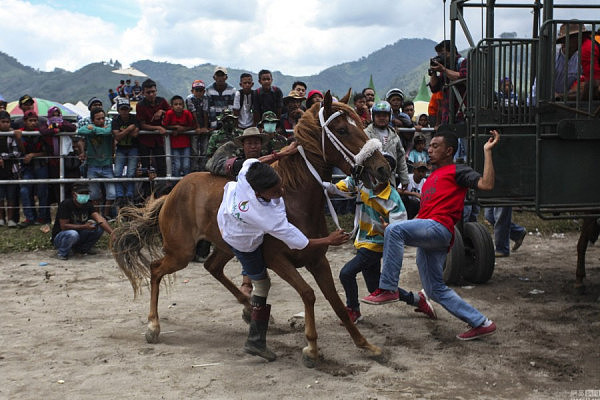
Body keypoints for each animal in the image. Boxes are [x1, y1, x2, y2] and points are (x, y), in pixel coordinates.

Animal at [111, 92, 390, 368]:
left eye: (361, 125)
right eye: (342, 130)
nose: (383, 167)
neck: (292, 200)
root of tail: (172, 192)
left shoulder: (317, 259)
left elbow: (336, 302)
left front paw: (367, 345)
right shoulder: (277, 260)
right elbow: (308, 294)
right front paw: (311, 348)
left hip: (227, 247)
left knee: (212, 267)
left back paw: (249, 308)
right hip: (181, 253)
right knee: (156, 269)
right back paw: (153, 325)